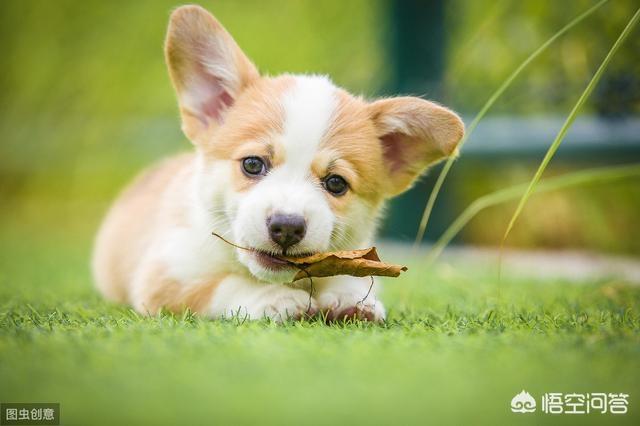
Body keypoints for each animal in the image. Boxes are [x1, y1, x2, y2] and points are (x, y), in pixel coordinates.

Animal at [92, 4, 462, 322]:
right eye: (253, 165)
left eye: (336, 183)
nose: (286, 226)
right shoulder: (167, 274)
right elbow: (223, 285)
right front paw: (273, 298)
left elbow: (352, 277)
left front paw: (353, 297)